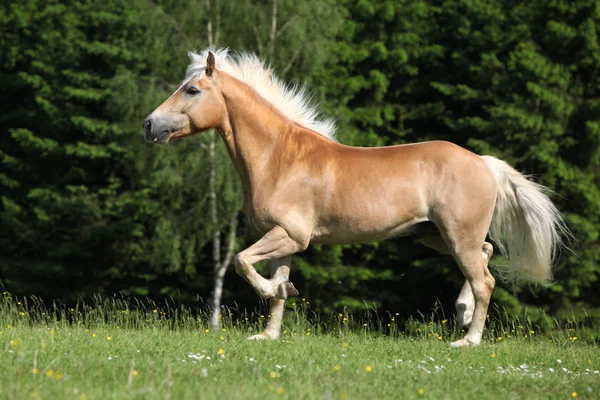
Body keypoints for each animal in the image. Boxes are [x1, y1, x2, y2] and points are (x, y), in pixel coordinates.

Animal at [142, 47, 568, 346]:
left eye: (192, 89)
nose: (149, 124)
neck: (279, 157)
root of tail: (483, 162)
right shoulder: (283, 240)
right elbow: (274, 289)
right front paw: (268, 332)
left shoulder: (291, 235)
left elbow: (241, 261)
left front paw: (277, 297)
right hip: (435, 235)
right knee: (486, 255)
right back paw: (462, 314)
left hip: (456, 236)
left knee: (485, 281)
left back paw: (468, 340)